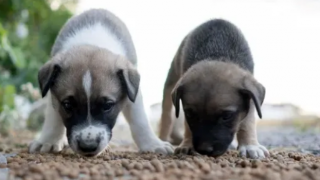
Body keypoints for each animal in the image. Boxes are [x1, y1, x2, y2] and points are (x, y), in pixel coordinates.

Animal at [28, 8, 174, 156]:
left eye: (107, 105)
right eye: (68, 105)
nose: (88, 146)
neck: (91, 43)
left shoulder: (133, 94)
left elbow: (140, 121)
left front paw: (153, 144)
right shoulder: (54, 96)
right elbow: (53, 120)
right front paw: (48, 141)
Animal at [159, 19, 268, 158]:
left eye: (227, 116)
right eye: (190, 114)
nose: (204, 150)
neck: (216, 55)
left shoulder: (250, 98)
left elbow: (247, 123)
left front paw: (250, 145)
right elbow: (188, 126)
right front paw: (186, 144)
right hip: (171, 83)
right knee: (166, 115)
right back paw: (162, 140)